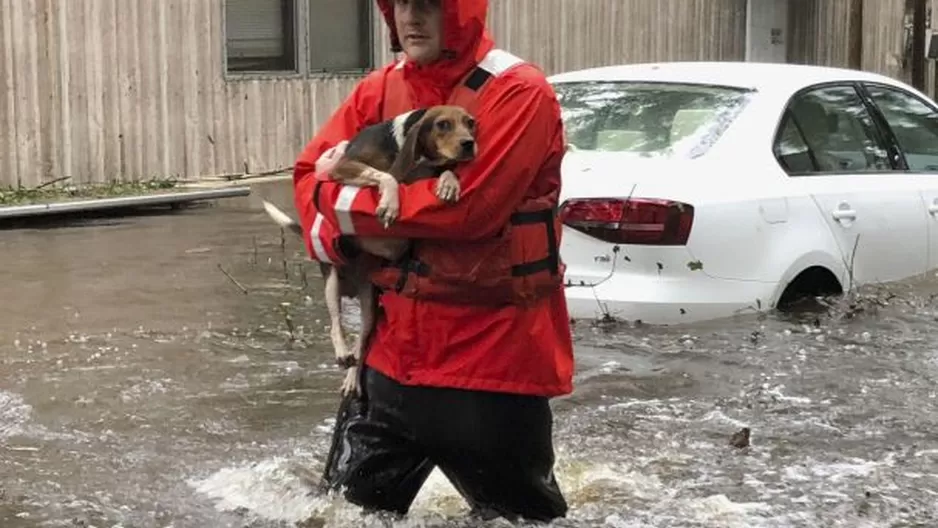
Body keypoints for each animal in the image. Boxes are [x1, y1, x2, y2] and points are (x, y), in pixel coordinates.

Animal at [262, 104, 476, 396]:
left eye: (470, 122)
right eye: (443, 124)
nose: (469, 144)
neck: (405, 152)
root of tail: (351, 285)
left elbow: (442, 172)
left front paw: (449, 182)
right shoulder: (344, 166)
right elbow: (386, 176)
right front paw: (390, 203)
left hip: (370, 305)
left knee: (361, 346)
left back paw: (353, 376)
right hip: (331, 281)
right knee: (336, 325)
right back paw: (342, 352)